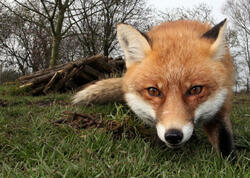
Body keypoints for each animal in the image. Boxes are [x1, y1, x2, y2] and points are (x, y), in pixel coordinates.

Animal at [73, 19, 236, 161]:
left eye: (196, 90)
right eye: (153, 91)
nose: (173, 136)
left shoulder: (221, 106)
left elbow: (224, 143)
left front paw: (229, 165)